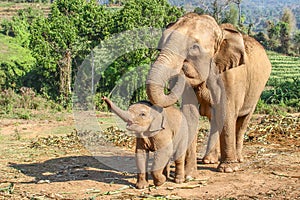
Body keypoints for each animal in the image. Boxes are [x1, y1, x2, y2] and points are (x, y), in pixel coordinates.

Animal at [146, 12, 272, 175]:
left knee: (243, 120)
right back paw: (209, 160)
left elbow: (227, 112)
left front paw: (228, 169)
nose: (181, 70)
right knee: (215, 120)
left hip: (257, 91)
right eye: (162, 42)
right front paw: (189, 174)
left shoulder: (231, 77)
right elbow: (190, 114)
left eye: (194, 47)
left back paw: (238, 159)